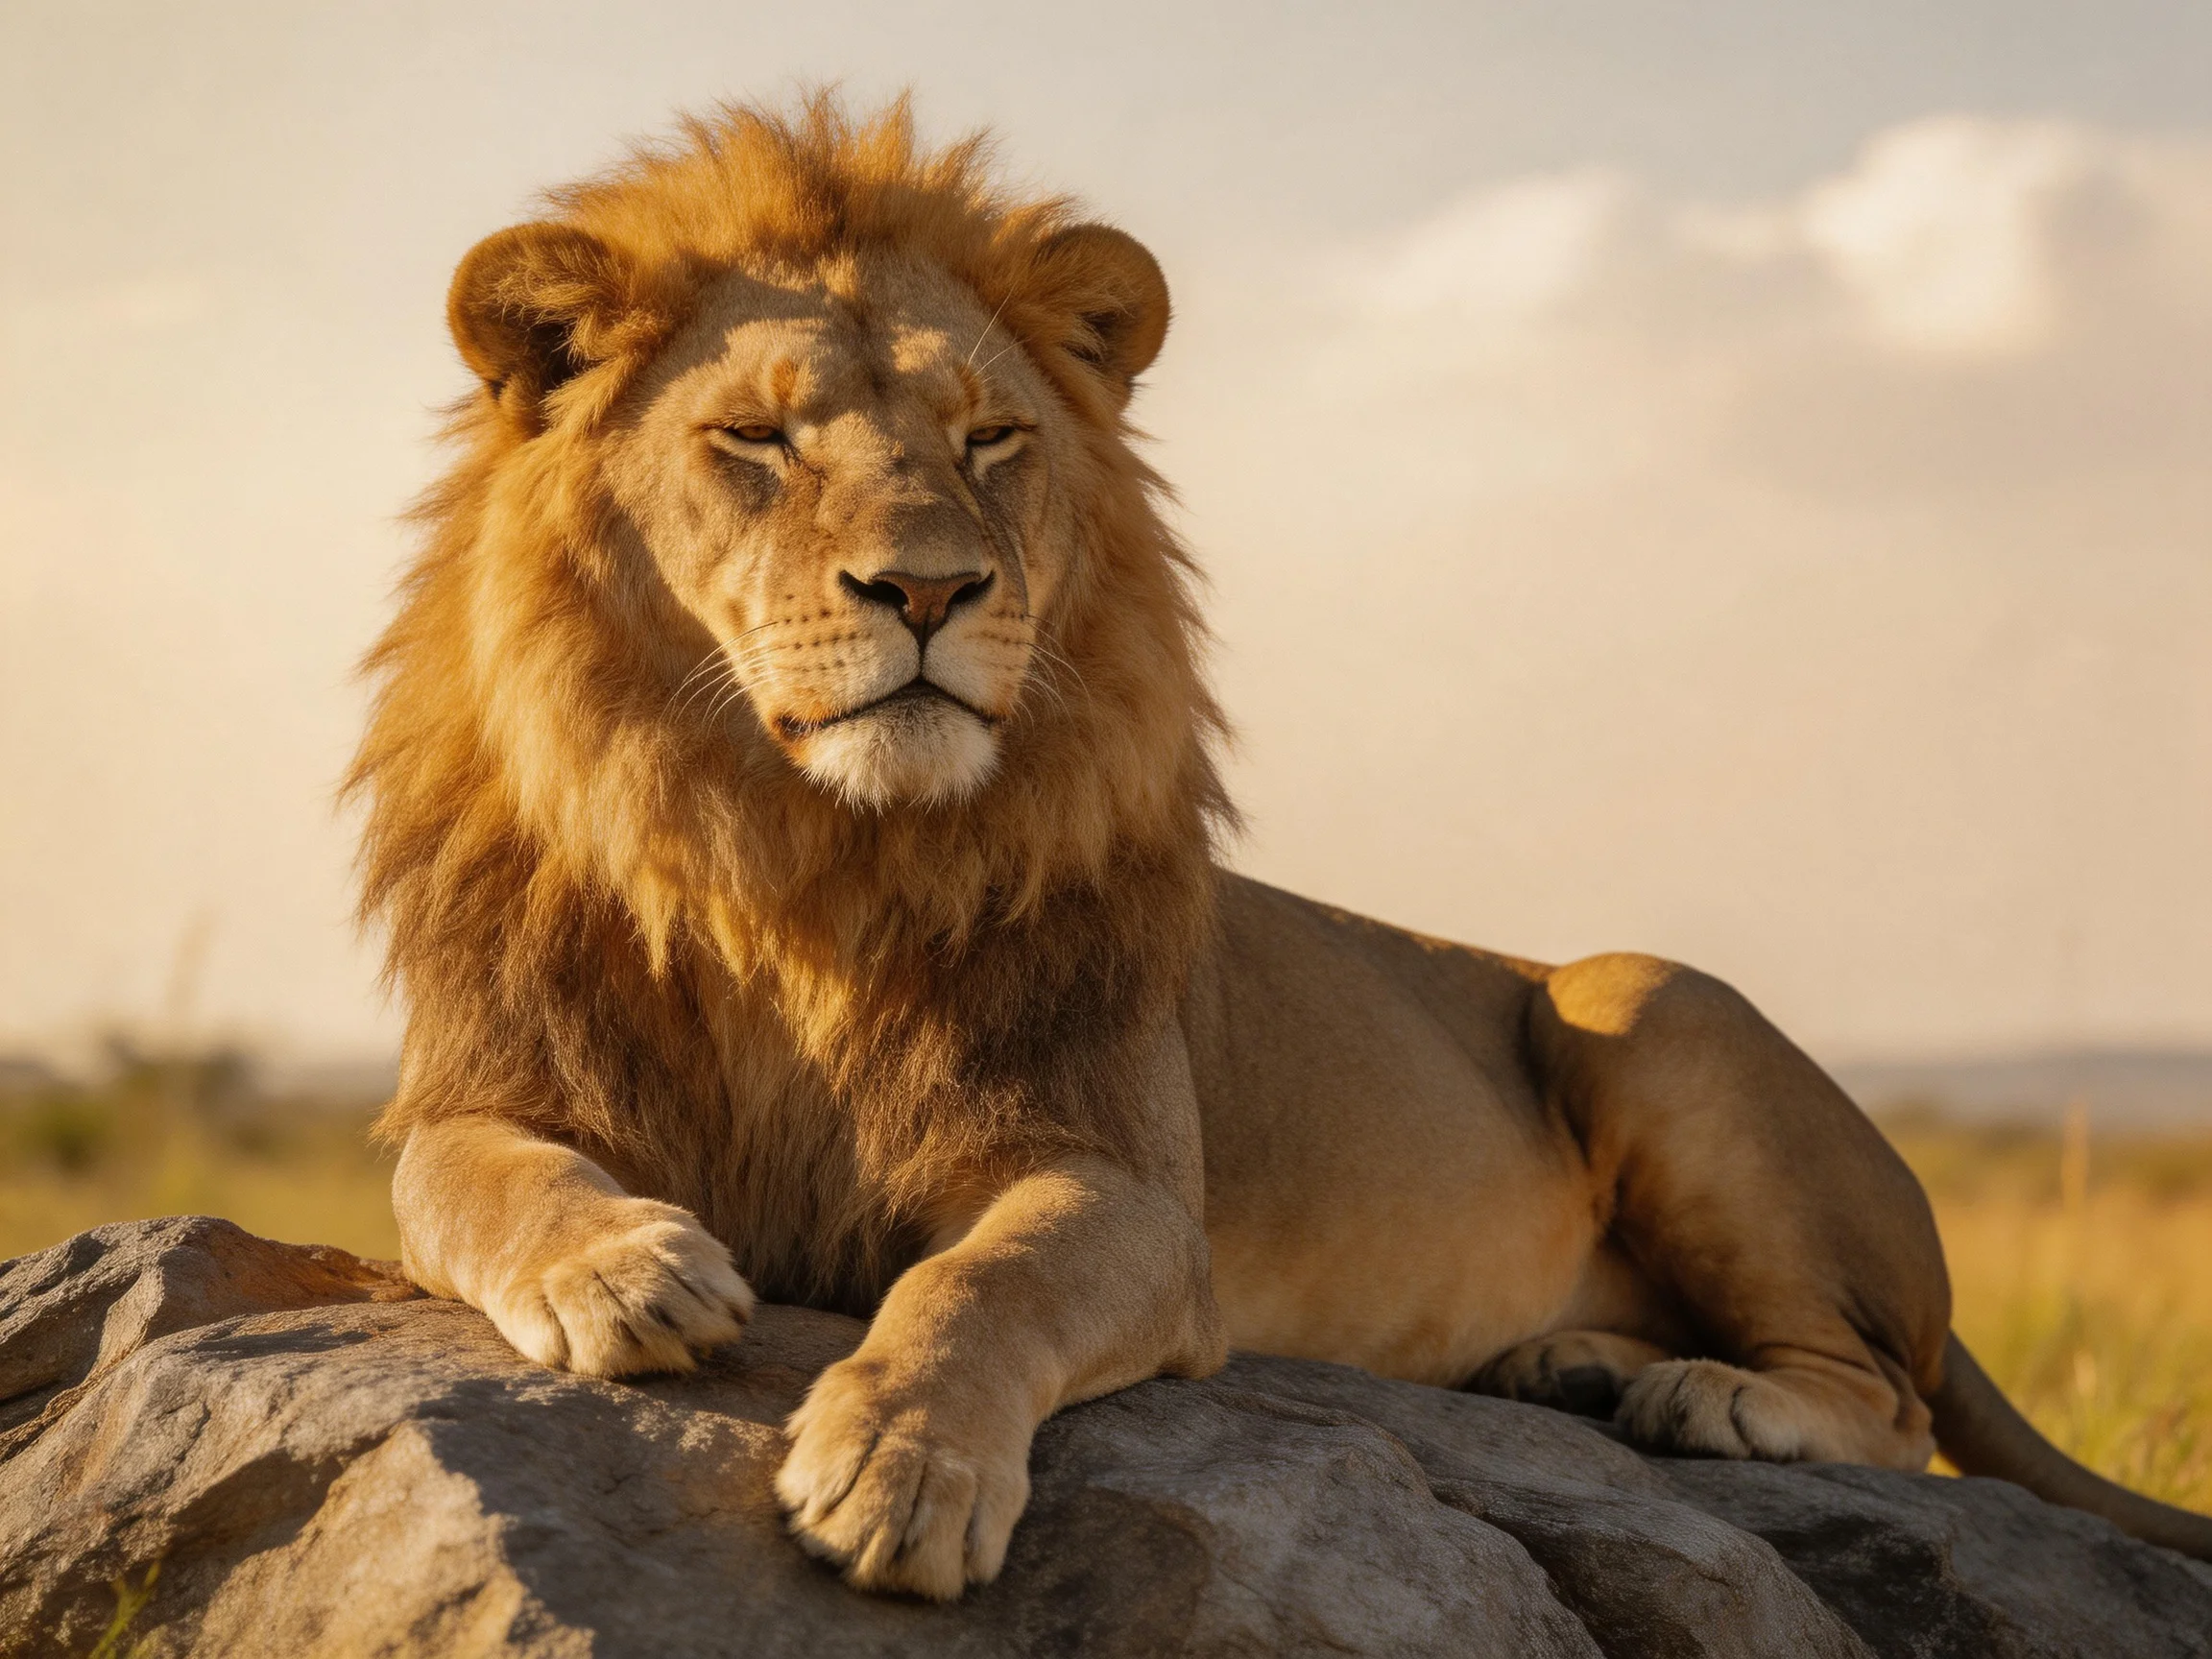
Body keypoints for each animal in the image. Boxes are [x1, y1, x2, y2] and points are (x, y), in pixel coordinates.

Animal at [351, 95, 2212, 1599]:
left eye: (990, 438)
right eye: (755, 437)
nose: (930, 590)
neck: (795, 862)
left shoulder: (1124, 1191)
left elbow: (982, 1288)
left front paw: (899, 1464)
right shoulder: (486, 1087)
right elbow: (468, 1177)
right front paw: (620, 1270)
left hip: (1641, 995)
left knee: (1888, 1402)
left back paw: (1703, 1394)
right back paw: (1578, 1368)